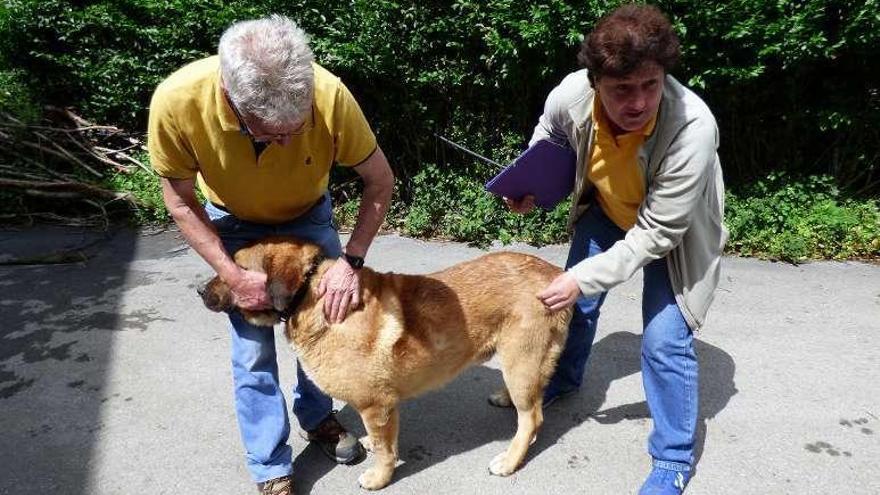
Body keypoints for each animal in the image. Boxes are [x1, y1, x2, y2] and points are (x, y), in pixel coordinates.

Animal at [199, 237, 572, 492]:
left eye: (236, 268)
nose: (200, 290)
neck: (310, 296)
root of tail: (554, 273)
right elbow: (381, 442)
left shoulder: (375, 406)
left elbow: (384, 449)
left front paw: (379, 477)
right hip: (521, 366)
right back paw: (505, 398)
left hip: (521, 361)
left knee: (532, 418)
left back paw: (509, 460)